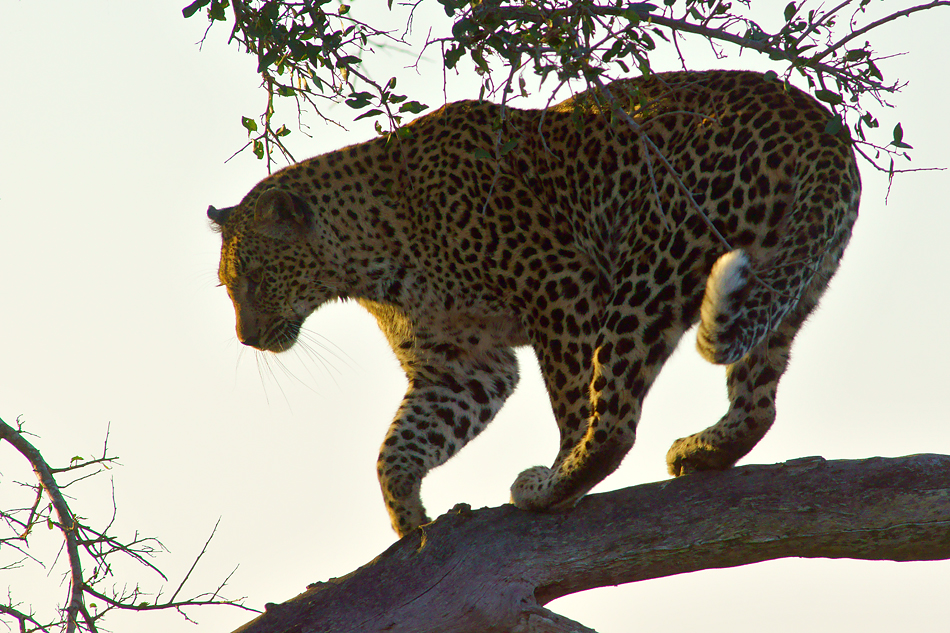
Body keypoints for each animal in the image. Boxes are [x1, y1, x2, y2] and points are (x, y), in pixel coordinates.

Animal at [208, 69, 864, 536]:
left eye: (254, 278)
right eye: (228, 285)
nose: (246, 336)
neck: (370, 257)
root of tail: (819, 124)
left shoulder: (562, 289)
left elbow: (573, 399)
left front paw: (559, 466)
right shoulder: (462, 365)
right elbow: (399, 444)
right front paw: (408, 515)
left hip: (652, 266)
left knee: (615, 421)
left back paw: (553, 486)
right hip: (786, 282)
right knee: (758, 402)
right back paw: (704, 449)